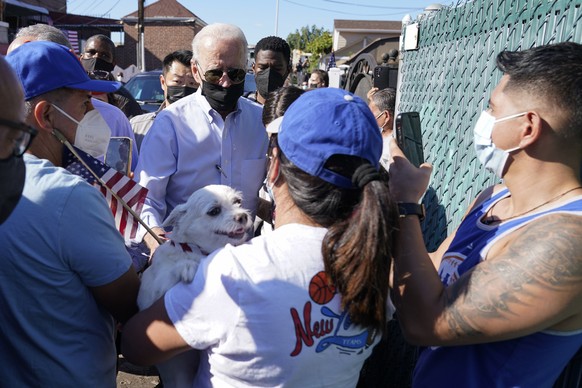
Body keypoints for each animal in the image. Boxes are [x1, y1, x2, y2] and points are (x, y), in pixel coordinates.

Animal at [139, 185, 256, 388]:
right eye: (214, 211)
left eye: (238, 202)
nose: (242, 216)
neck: (198, 251)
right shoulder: (151, 295)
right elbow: (172, 273)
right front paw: (187, 266)